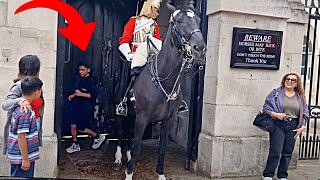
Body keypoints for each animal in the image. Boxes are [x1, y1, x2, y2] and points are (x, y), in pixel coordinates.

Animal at [124, 1, 206, 180]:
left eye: (198, 20)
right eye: (179, 21)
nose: (200, 49)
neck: (164, 82)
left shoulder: (168, 120)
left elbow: (162, 148)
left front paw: (160, 174)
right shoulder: (142, 118)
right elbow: (136, 147)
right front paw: (129, 174)